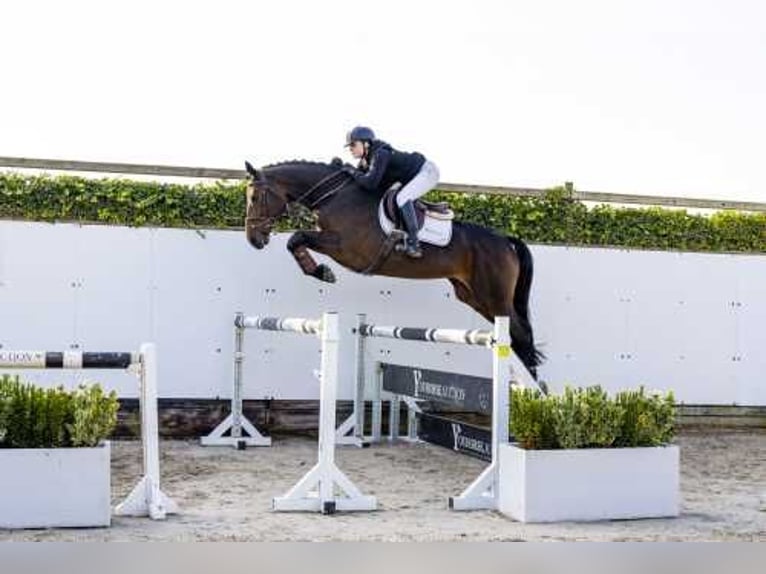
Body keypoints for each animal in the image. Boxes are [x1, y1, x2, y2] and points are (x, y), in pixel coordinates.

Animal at [243, 160, 544, 376]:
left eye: (255, 198)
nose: (253, 239)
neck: (334, 197)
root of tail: (505, 240)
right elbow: (296, 240)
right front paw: (318, 270)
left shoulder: (344, 247)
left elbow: (296, 237)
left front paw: (321, 272)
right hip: (474, 296)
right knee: (516, 337)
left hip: (495, 296)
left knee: (520, 334)